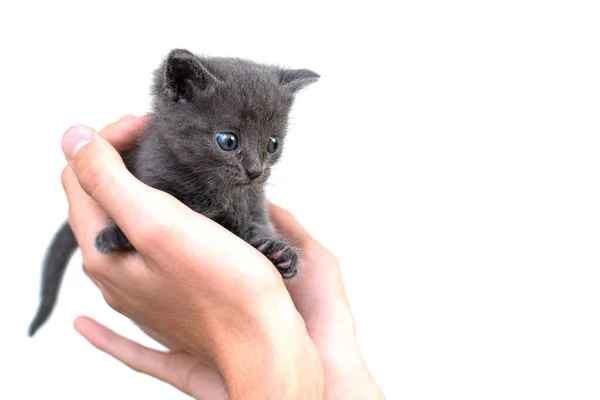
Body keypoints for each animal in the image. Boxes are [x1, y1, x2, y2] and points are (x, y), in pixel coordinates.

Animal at [29, 49, 318, 338]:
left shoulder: (253, 205)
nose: (255, 171)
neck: (214, 190)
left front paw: (281, 254)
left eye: (273, 144)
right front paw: (113, 235)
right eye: (227, 141)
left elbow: (257, 228)